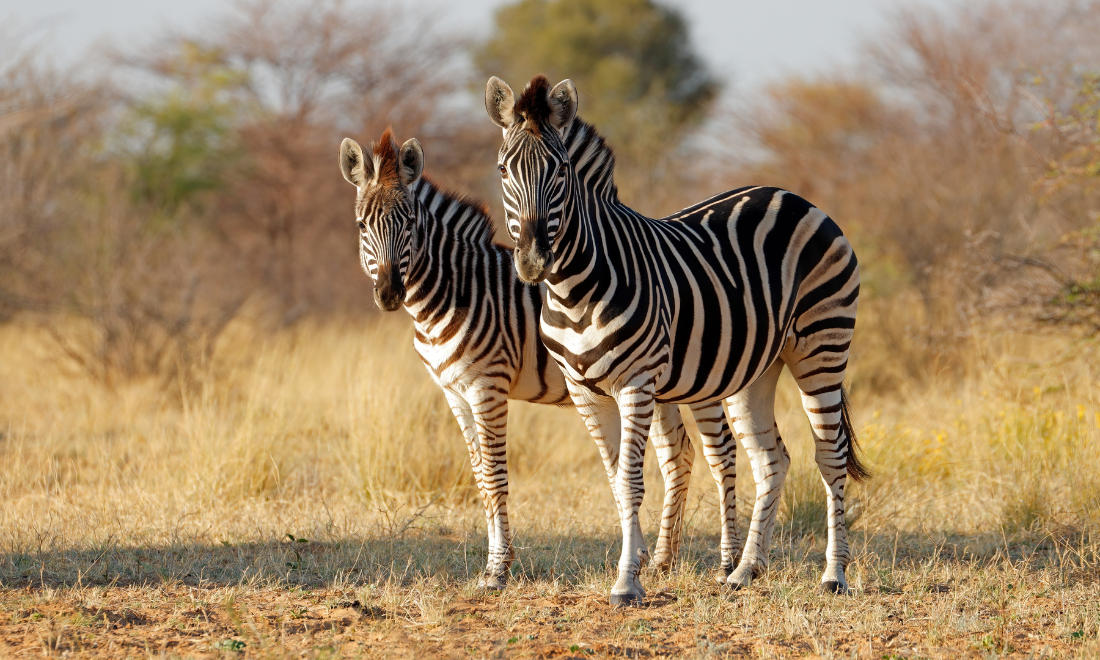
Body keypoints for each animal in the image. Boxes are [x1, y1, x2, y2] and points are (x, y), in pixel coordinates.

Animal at [338, 128, 741, 589]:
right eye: (362, 225)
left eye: (409, 223)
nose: (389, 294)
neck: (452, 292)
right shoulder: (453, 393)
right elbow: (479, 477)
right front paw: (498, 559)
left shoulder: (488, 387)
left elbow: (496, 476)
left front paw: (497, 569)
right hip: (659, 383)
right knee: (678, 454)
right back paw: (660, 559)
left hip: (700, 379)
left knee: (720, 451)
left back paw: (726, 562)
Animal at [484, 75, 869, 606]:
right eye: (504, 169)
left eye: (560, 170)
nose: (533, 261)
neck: (573, 290)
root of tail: (794, 196)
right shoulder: (584, 392)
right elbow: (614, 479)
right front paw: (639, 564)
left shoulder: (636, 383)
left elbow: (631, 480)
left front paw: (627, 582)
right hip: (756, 366)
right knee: (772, 458)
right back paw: (744, 570)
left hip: (822, 344)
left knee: (830, 455)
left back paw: (834, 575)